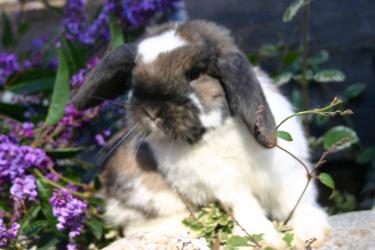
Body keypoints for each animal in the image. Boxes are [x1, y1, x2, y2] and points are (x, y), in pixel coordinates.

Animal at [72, 20, 330, 249]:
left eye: (194, 74)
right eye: (134, 77)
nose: (151, 110)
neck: (217, 132)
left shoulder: (285, 173)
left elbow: (298, 201)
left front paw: (313, 233)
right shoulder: (225, 187)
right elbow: (245, 209)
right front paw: (265, 240)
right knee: (136, 226)